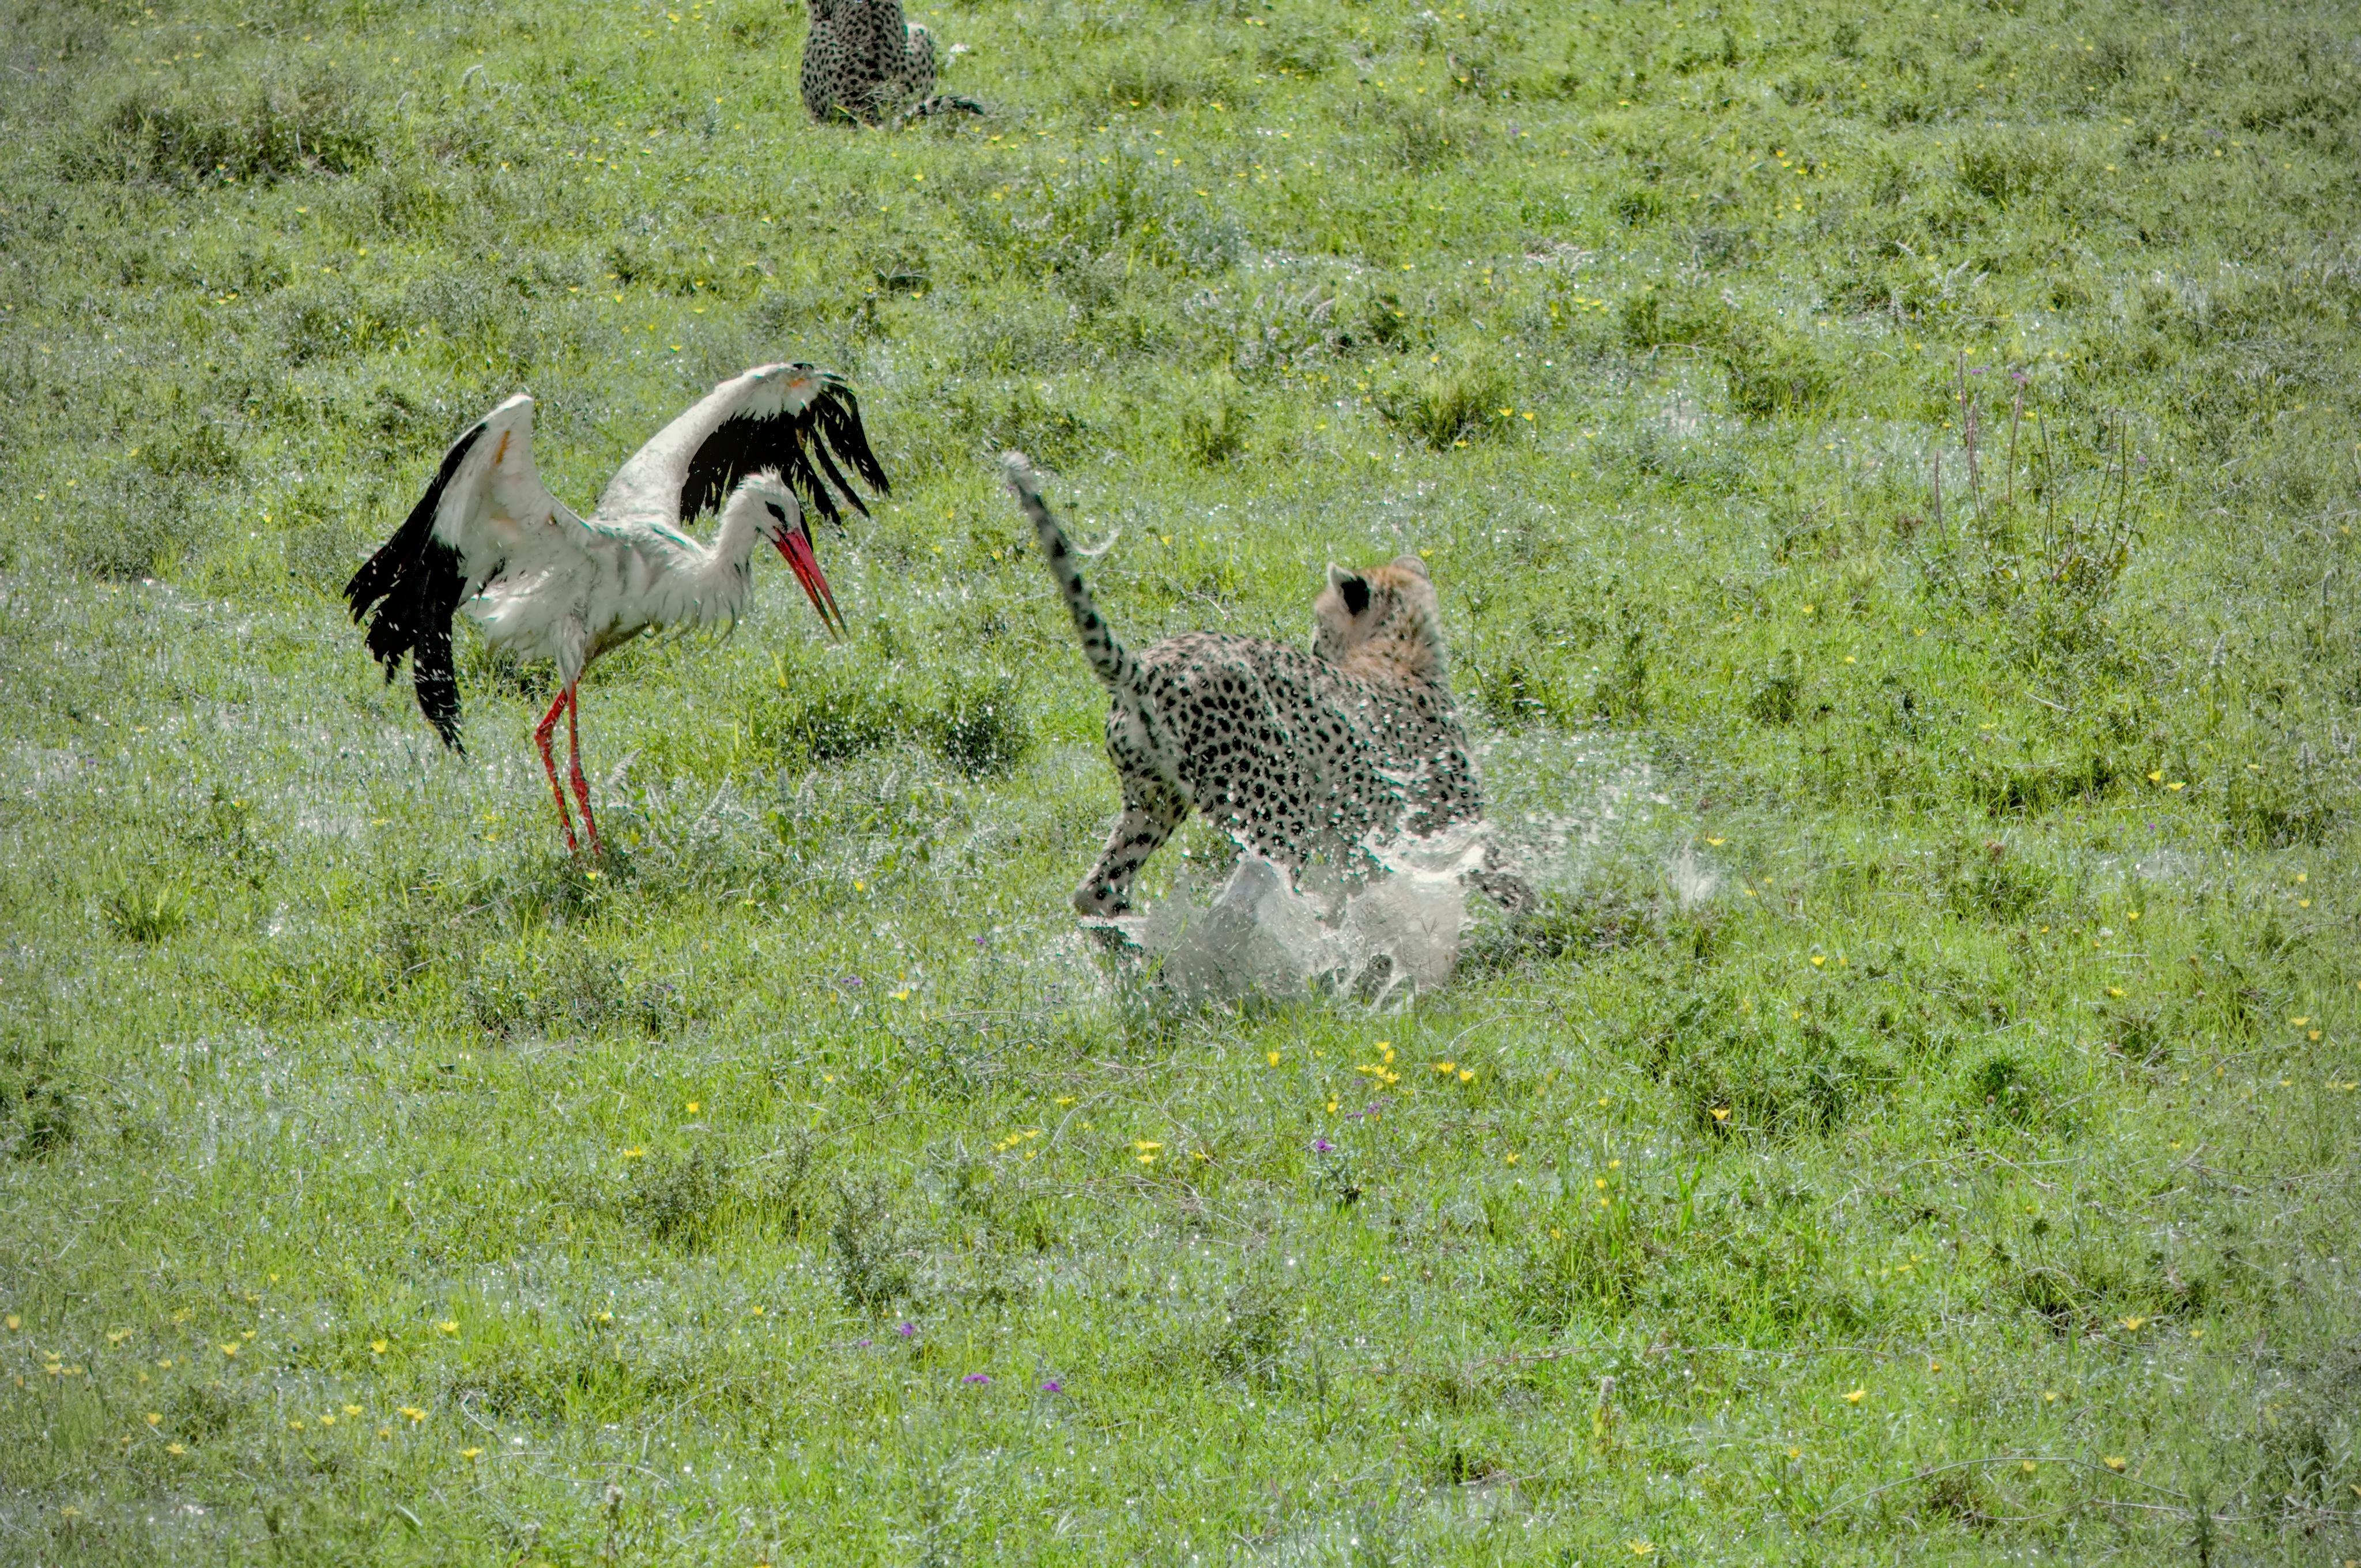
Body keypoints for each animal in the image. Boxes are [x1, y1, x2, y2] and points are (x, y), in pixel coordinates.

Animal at [1004, 453, 1529, 919]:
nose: (1314, 646)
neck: (1398, 654)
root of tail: (1149, 666)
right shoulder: (1448, 823)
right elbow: (1504, 873)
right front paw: (1540, 928)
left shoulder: (1361, 841)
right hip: (1274, 813)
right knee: (1252, 901)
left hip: (1156, 799)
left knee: (1096, 891)